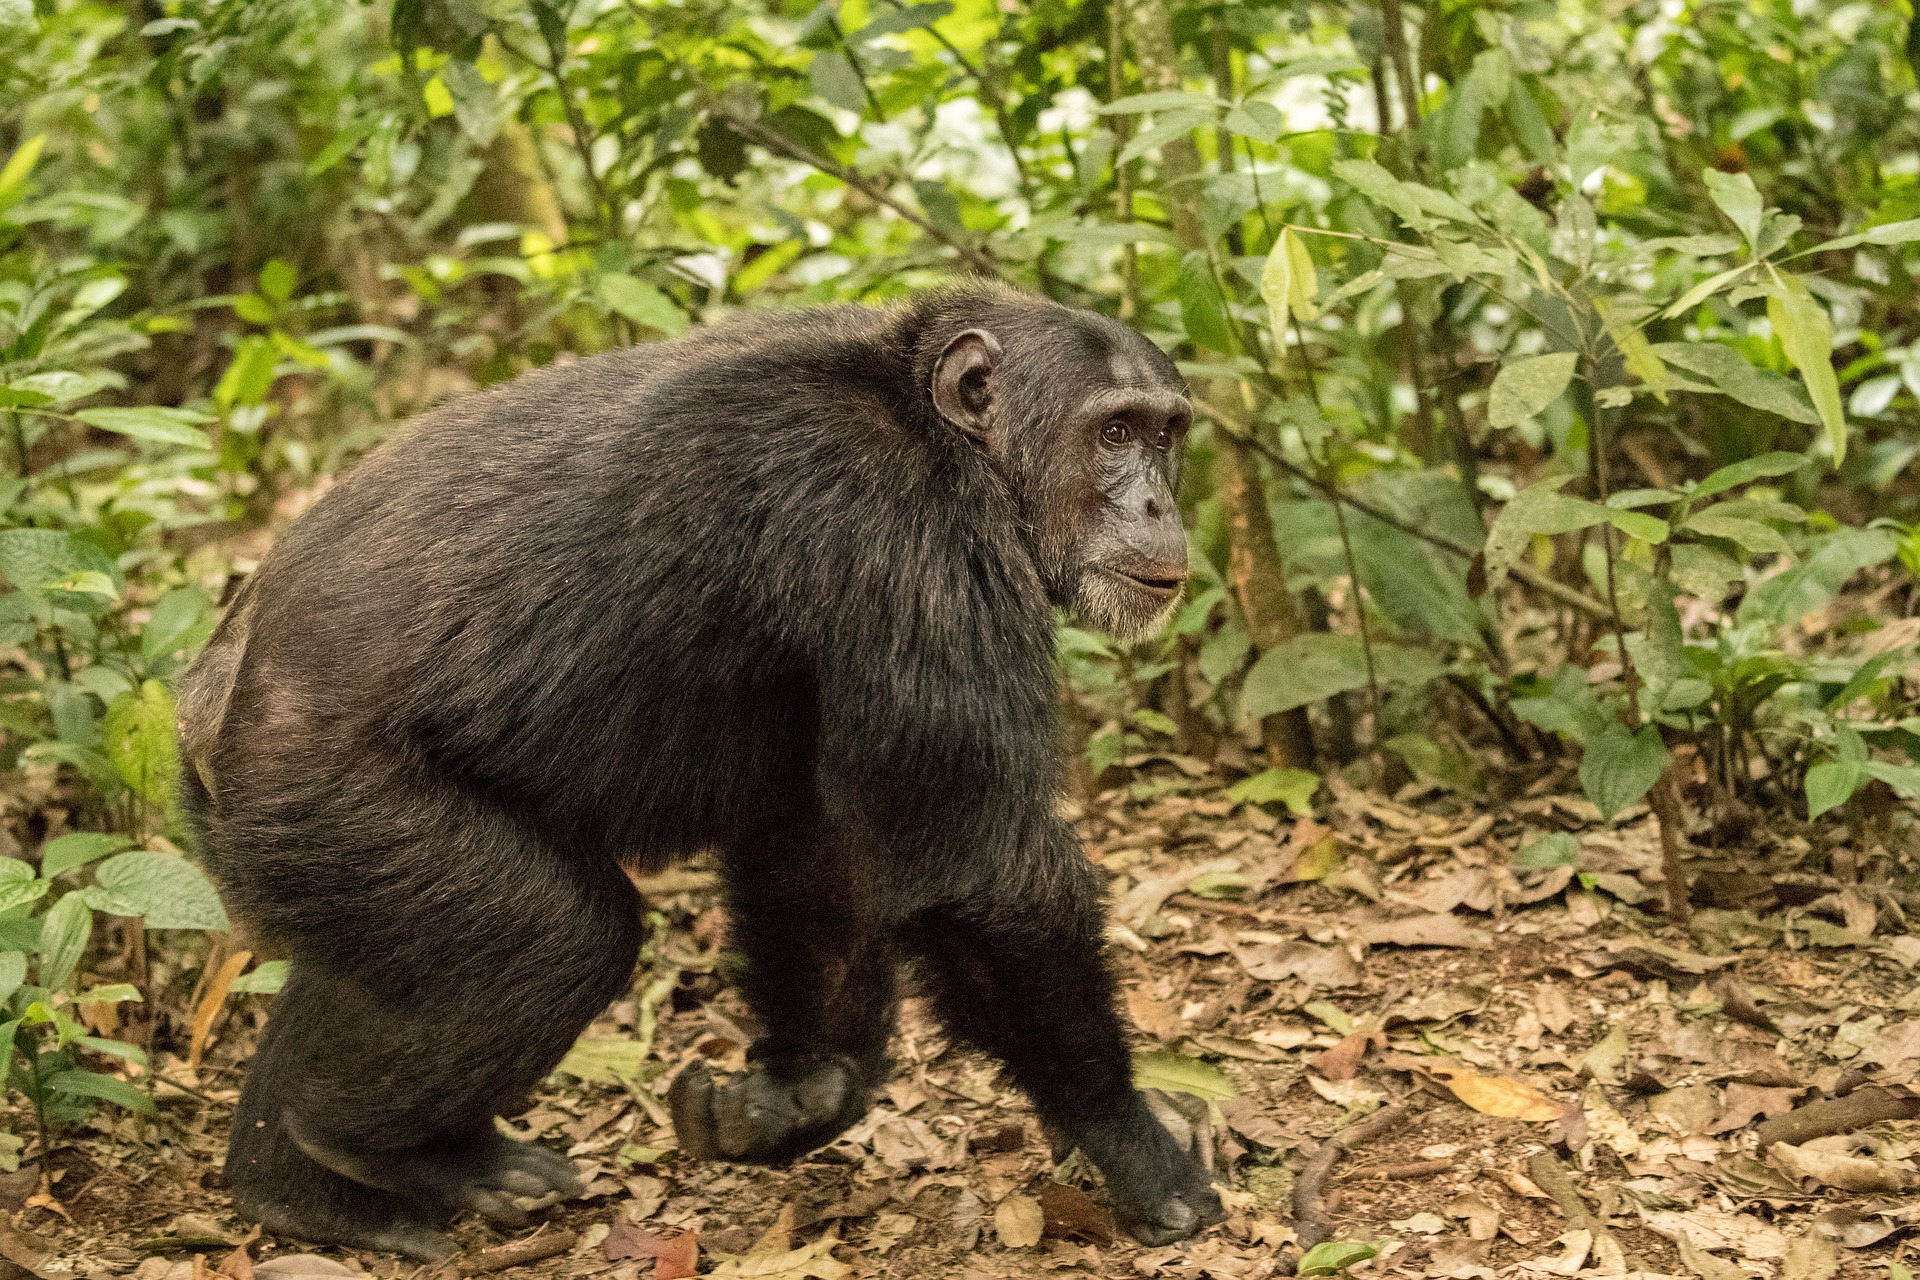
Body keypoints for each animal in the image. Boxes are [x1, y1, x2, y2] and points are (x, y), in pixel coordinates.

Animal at [183, 282, 1228, 1258]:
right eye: (1114, 431)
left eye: (1167, 434)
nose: (1157, 502)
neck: (944, 434)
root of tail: (199, 702)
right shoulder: (895, 532)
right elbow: (982, 872)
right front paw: (1134, 1143)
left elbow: (818, 836)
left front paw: (795, 1095)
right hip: (335, 801)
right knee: (555, 937)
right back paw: (395, 1148)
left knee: (367, 967)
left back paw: (303, 1193)